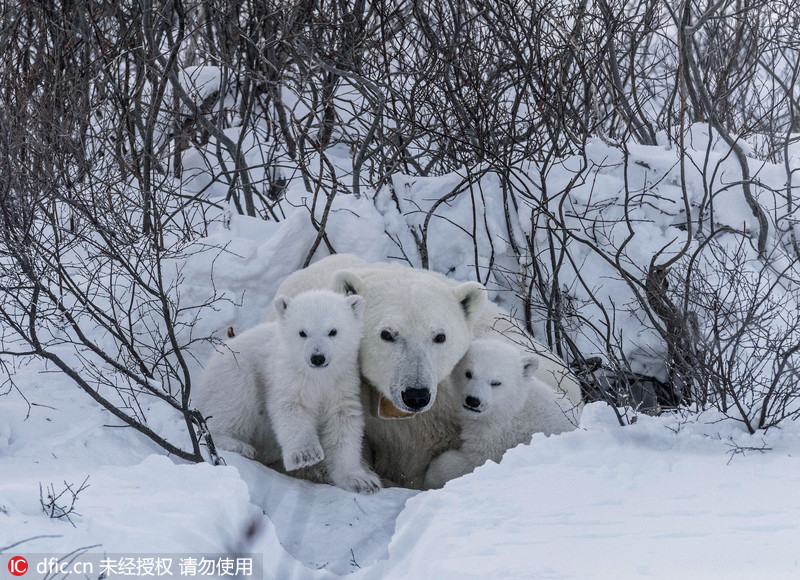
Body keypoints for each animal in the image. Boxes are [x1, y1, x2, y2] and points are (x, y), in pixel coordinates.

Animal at [194, 290, 382, 494]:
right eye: (302, 332)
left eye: (333, 331)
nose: (317, 357)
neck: (317, 376)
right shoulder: (287, 374)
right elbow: (292, 408)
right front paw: (306, 455)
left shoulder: (342, 381)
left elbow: (343, 421)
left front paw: (362, 481)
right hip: (234, 374)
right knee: (232, 404)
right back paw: (239, 445)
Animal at [424, 340, 576, 490]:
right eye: (468, 373)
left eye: (496, 382)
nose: (473, 401)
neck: (513, 407)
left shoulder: (499, 436)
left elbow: (476, 461)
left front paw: (431, 473)